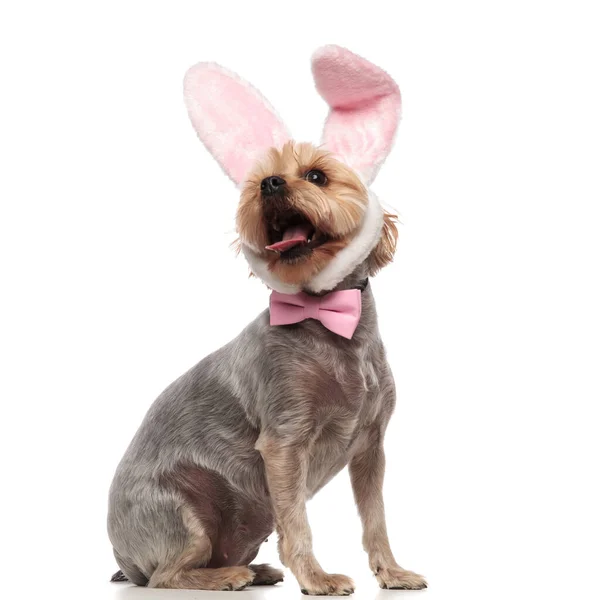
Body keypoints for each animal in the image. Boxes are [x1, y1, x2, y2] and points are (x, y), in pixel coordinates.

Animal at [108, 45, 426, 596]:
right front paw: (317, 578)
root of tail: (122, 557)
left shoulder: (370, 446)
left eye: (317, 175)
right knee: (166, 575)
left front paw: (392, 571)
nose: (271, 183)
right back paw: (227, 576)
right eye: (257, 183)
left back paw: (254, 569)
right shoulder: (284, 442)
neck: (325, 317)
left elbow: (376, 519)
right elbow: (297, 522)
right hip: (184, 512)